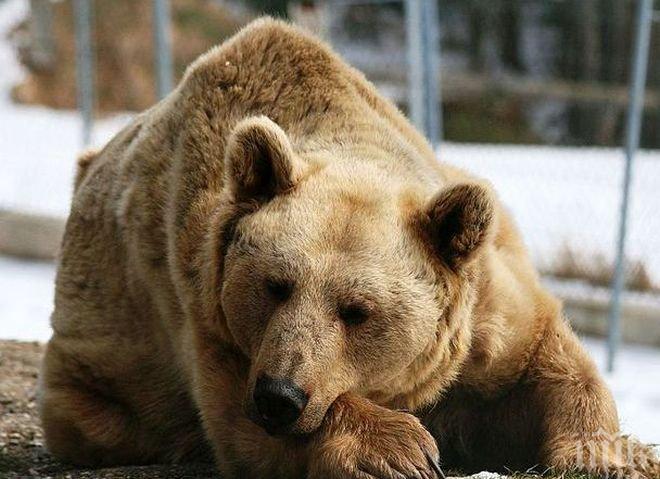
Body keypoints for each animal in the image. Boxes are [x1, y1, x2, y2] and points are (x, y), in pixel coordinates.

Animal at [38, 16, 656, 478]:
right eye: (275, 285)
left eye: (357, 309)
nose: (280, 395)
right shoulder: (205, 306)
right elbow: (243, 430)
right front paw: (399, 449)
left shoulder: (482, 302)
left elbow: (548, 359)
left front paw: (612, 453)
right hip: (101, 370)